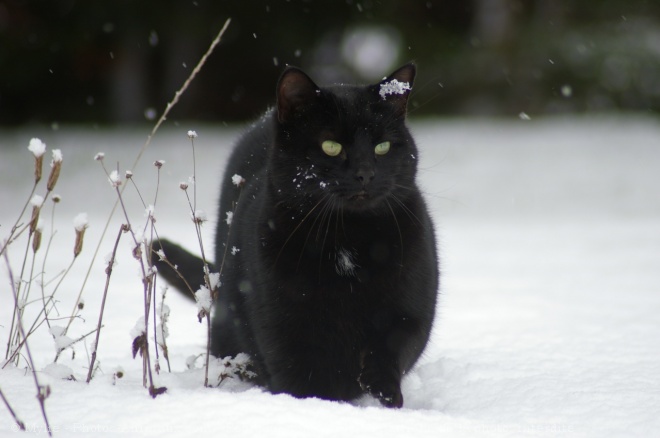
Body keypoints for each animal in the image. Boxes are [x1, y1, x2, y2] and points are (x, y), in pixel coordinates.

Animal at [156, 63, 438, 408]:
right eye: (331, 146)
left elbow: (395, 345)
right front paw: (313, 408)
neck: (347, 237)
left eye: (381, 147)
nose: (365, 174)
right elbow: (301, 375)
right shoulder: (283, 325)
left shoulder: (410, 307)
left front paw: (383, 391)